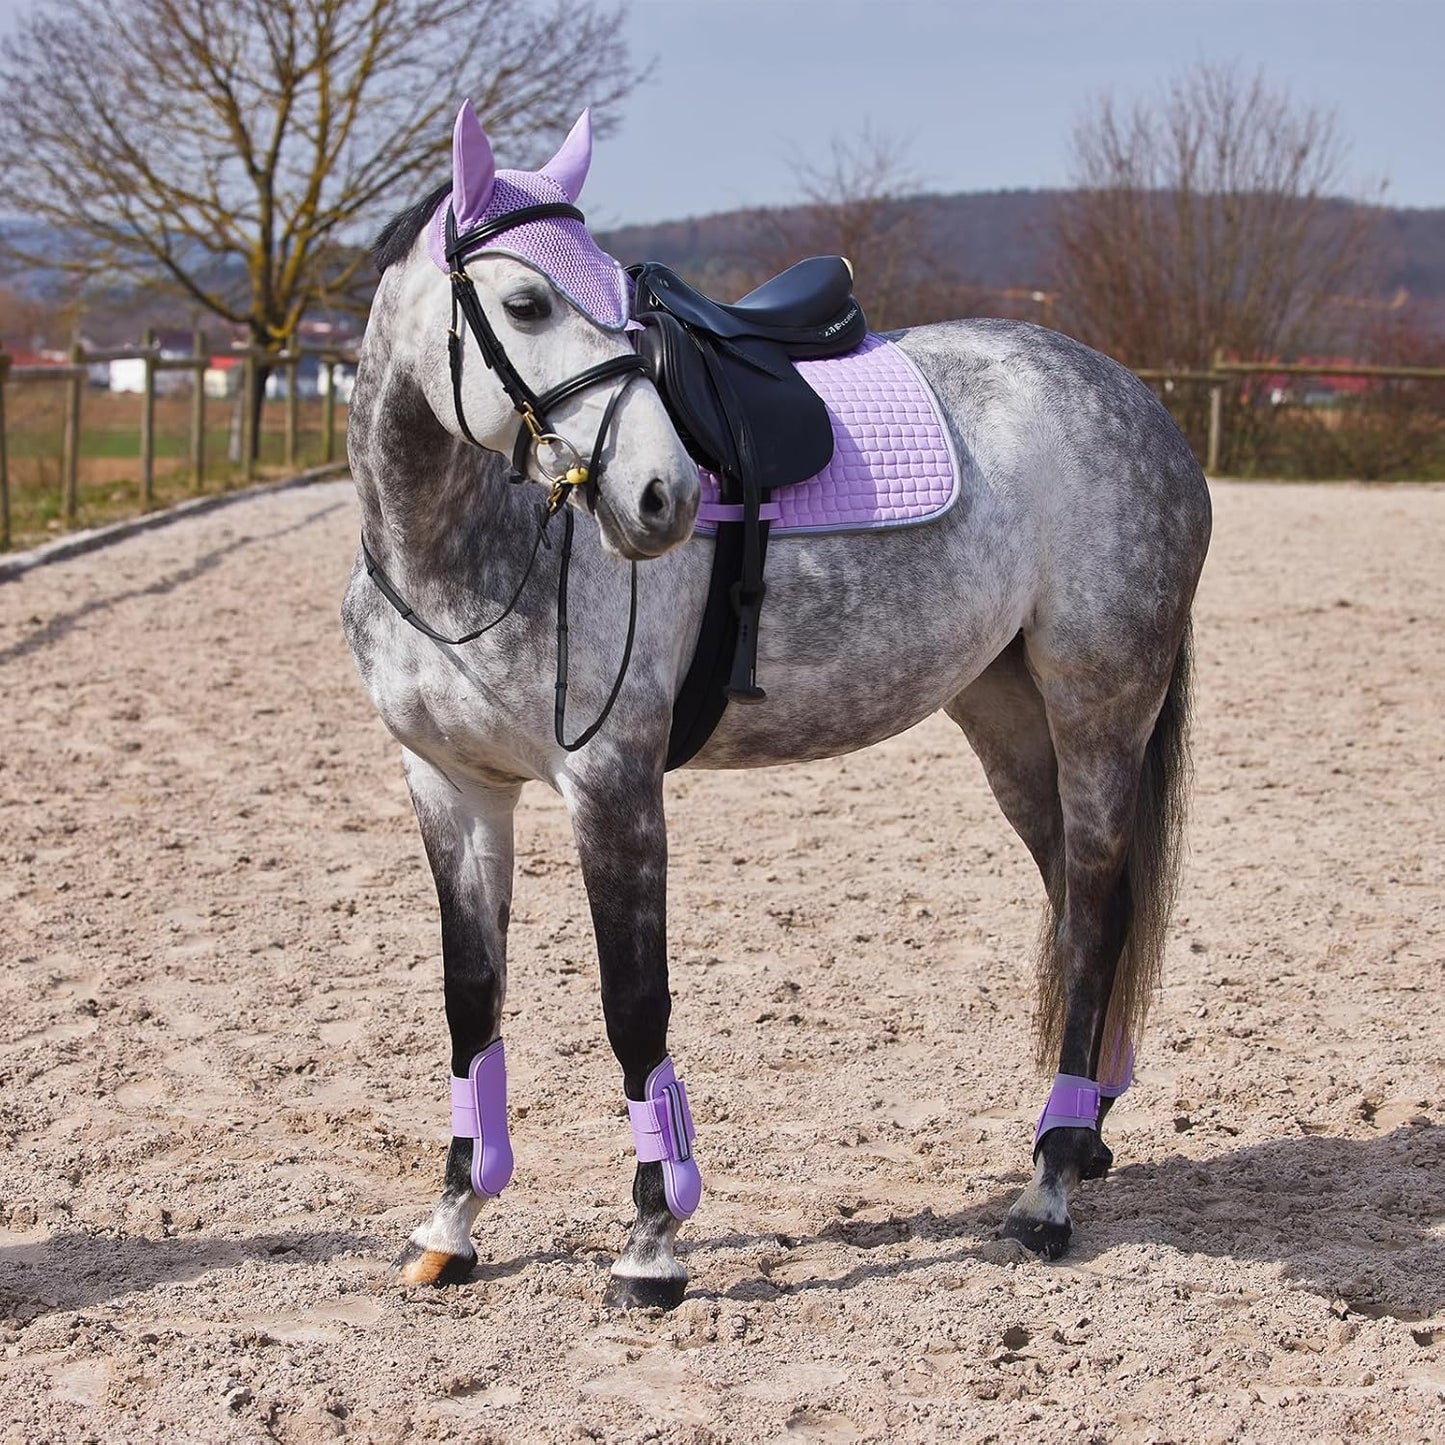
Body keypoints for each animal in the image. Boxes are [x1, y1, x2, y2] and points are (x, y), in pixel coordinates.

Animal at [341, 101, 1212, 1308]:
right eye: (525, 303)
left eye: (622, 300)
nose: (661, 496)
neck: (464, 550)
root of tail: (1140, 404)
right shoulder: (452, 788)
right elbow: (471, 1001)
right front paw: (454, 1220)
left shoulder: (610, 784)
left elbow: (633, 1003)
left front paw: (653, 1239)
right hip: (1010, 725)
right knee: (1096, 907)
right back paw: (1081, 1133)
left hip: (1098, 710)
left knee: (1089, 916)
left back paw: (1045, 1190)